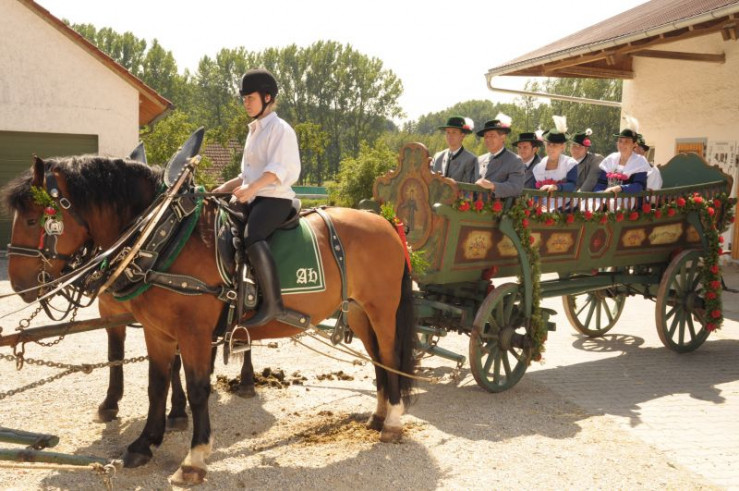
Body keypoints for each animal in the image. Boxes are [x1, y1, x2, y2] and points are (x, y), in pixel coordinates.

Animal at [2, 154, 416, 485]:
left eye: (35, 218)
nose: (20, 284)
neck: (165, 237)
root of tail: (384, 222)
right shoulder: (157, 331)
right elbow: (156, 385)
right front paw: (144, 443)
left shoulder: (194, 334)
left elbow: (198, 389)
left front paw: (194, 458)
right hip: (359, 311)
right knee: (378, 359)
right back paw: (380, 414)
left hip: (382, 309)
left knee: (390, 356)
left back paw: (394, 422)